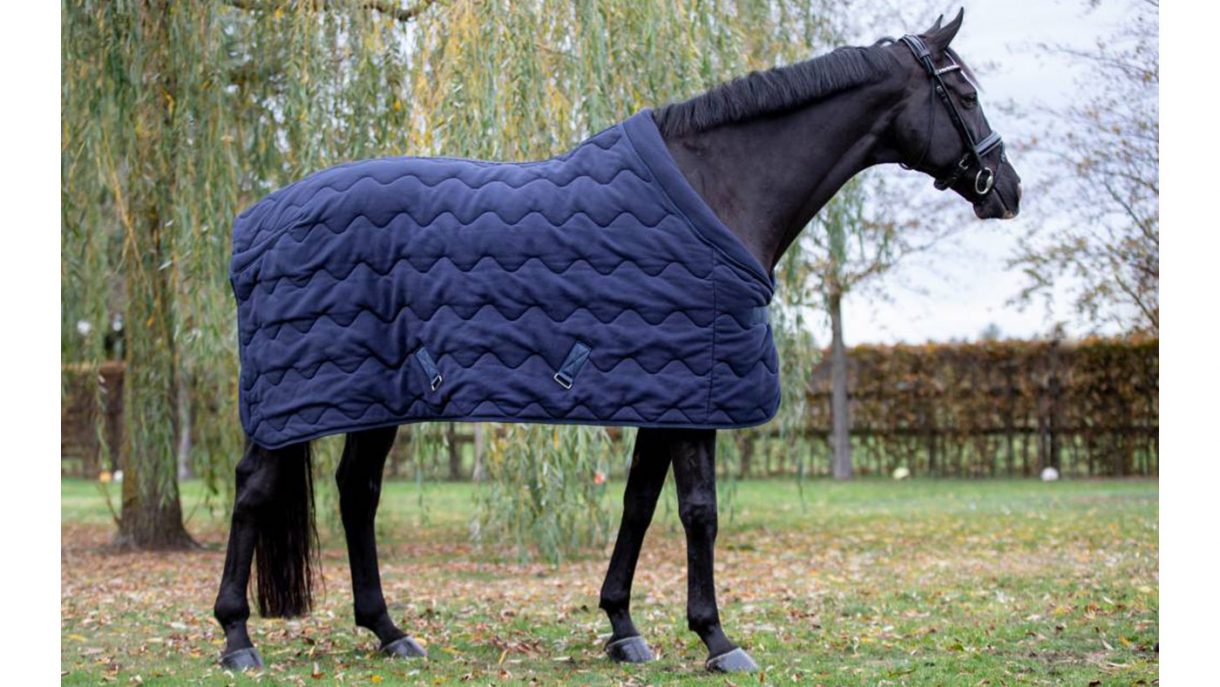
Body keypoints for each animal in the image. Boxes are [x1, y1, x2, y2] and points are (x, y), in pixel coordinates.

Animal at [213, 10, 1021, 674]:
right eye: (964, 94)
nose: (1007, 188)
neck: (717, 187)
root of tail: (255, 223)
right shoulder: (697, 394)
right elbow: (699, 512)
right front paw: (717, 638)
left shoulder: (665, 389)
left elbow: (637, 504)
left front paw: (624, 628)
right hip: (299, 397)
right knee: (254, 490)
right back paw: (237, 638)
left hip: (375, 393)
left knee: (357, 493)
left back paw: (389, 631)